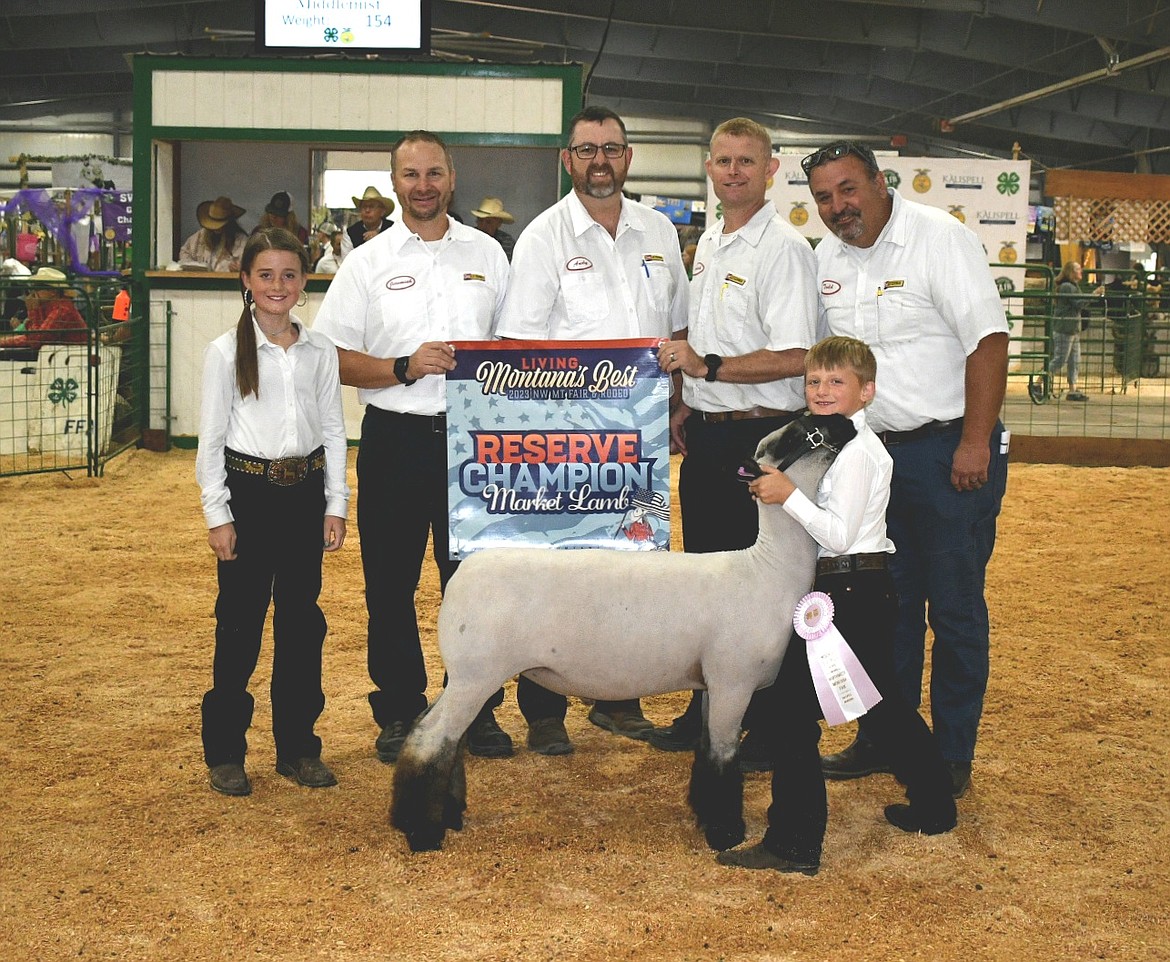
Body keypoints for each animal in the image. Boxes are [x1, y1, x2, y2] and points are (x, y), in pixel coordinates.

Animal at [388, 411, 856, 851]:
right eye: (797, 436)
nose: (846, 421)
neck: (766, 570)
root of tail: (462, 575)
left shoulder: (710, 683)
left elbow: (707, 753)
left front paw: (705, 815)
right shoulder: (732, 681)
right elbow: (724, 757)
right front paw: (725, 832)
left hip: (466, 676)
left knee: (442, 737)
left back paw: (447, 815)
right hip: (476, 674)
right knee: (430, 738)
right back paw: (421, 831)